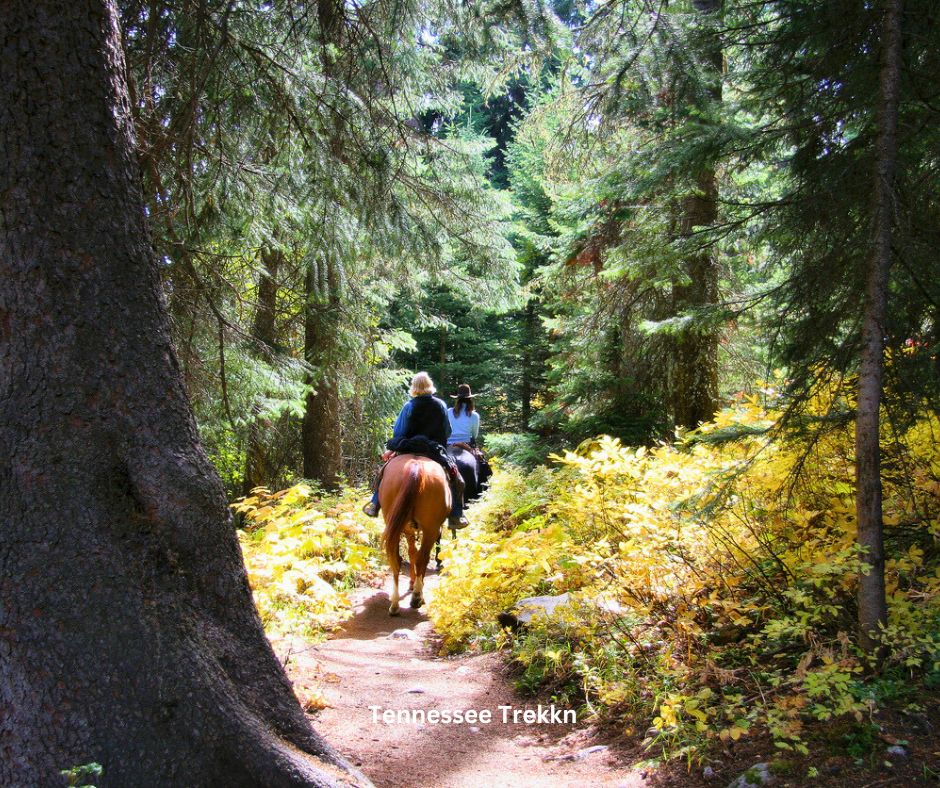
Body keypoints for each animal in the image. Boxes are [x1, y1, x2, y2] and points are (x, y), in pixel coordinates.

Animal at [378, 456, 452, 616]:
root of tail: (416, 466)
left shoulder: (408, 529)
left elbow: (412, 552)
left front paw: (412, 583)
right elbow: (418, 555)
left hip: (395, 523)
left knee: (396, 559)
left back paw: (395, 604)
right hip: (431, 528)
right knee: (422, 558)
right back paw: (417, 597)